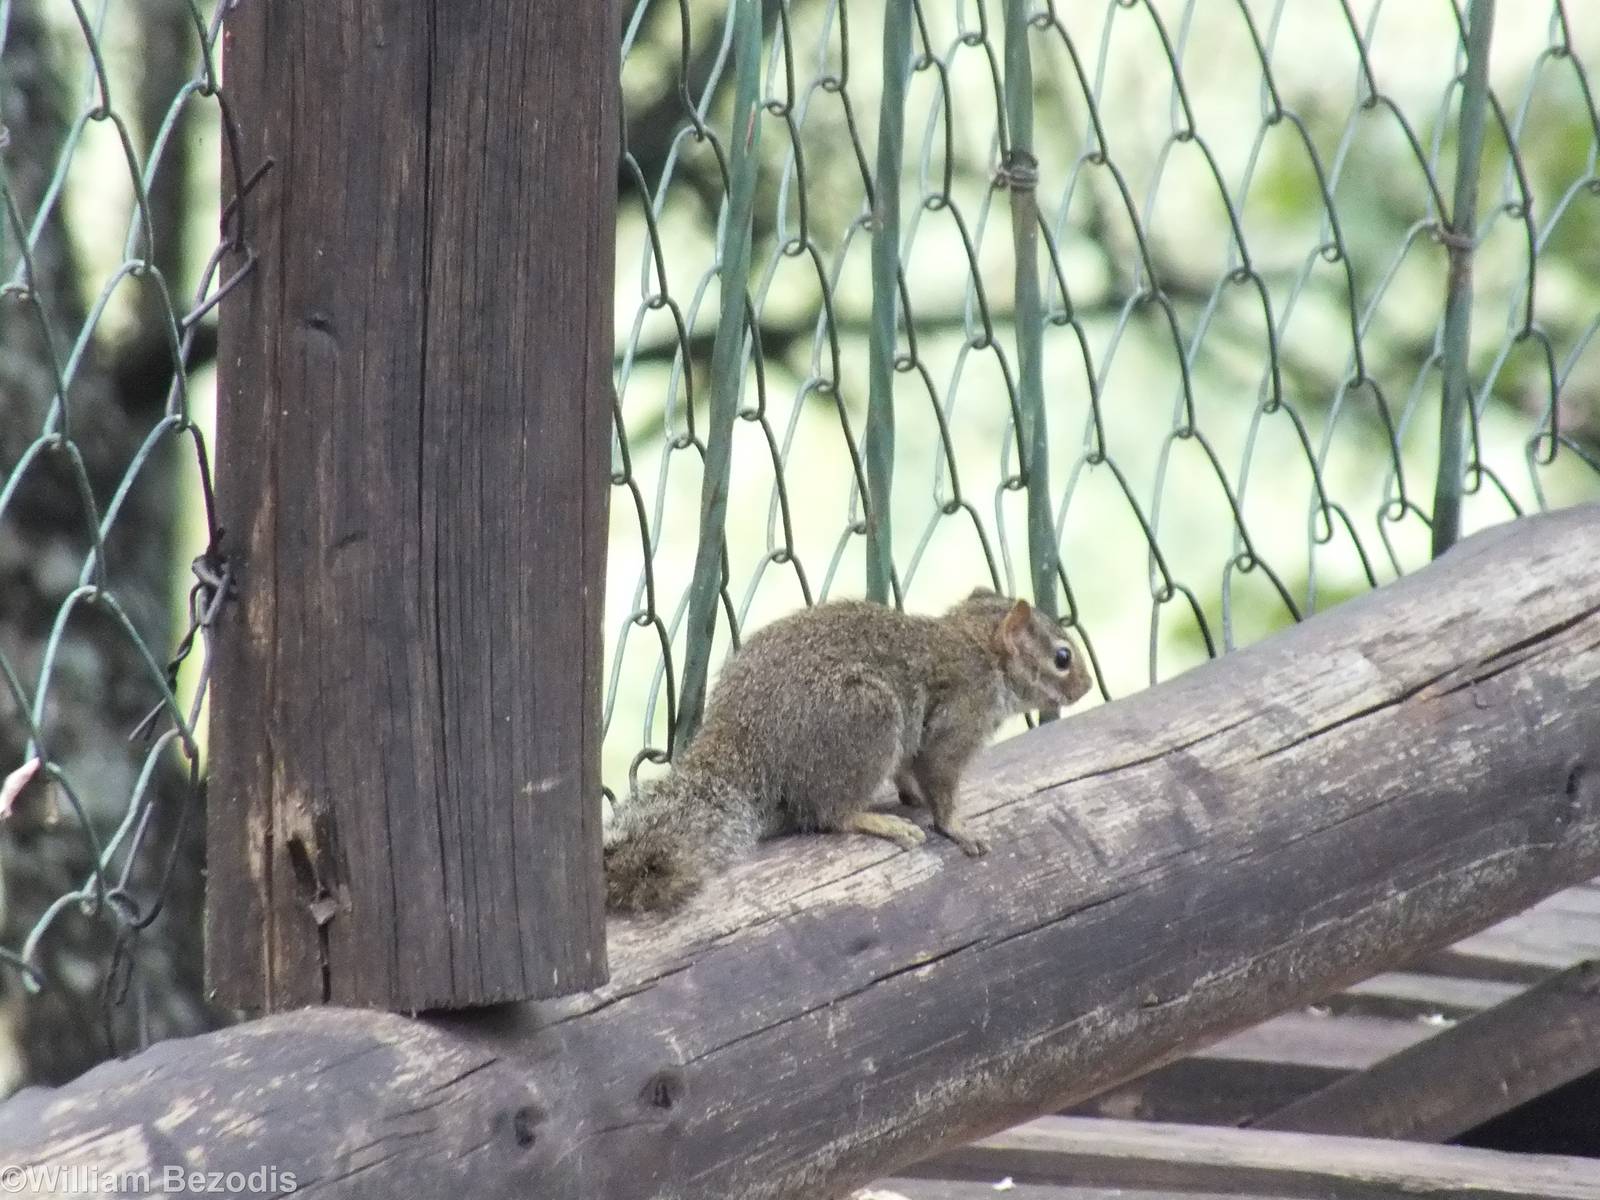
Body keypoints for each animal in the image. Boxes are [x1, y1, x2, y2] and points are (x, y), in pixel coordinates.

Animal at [604, 590, 1092, 913]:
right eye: (1062, 657)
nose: (1086, 687)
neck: (981, 652)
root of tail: (744, 742)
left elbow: (910, 772)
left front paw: (913, 796)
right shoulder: (955, 726)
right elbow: (941, 785)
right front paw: (957, 828)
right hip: (866, 720)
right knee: (828, 814)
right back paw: (879, 822)